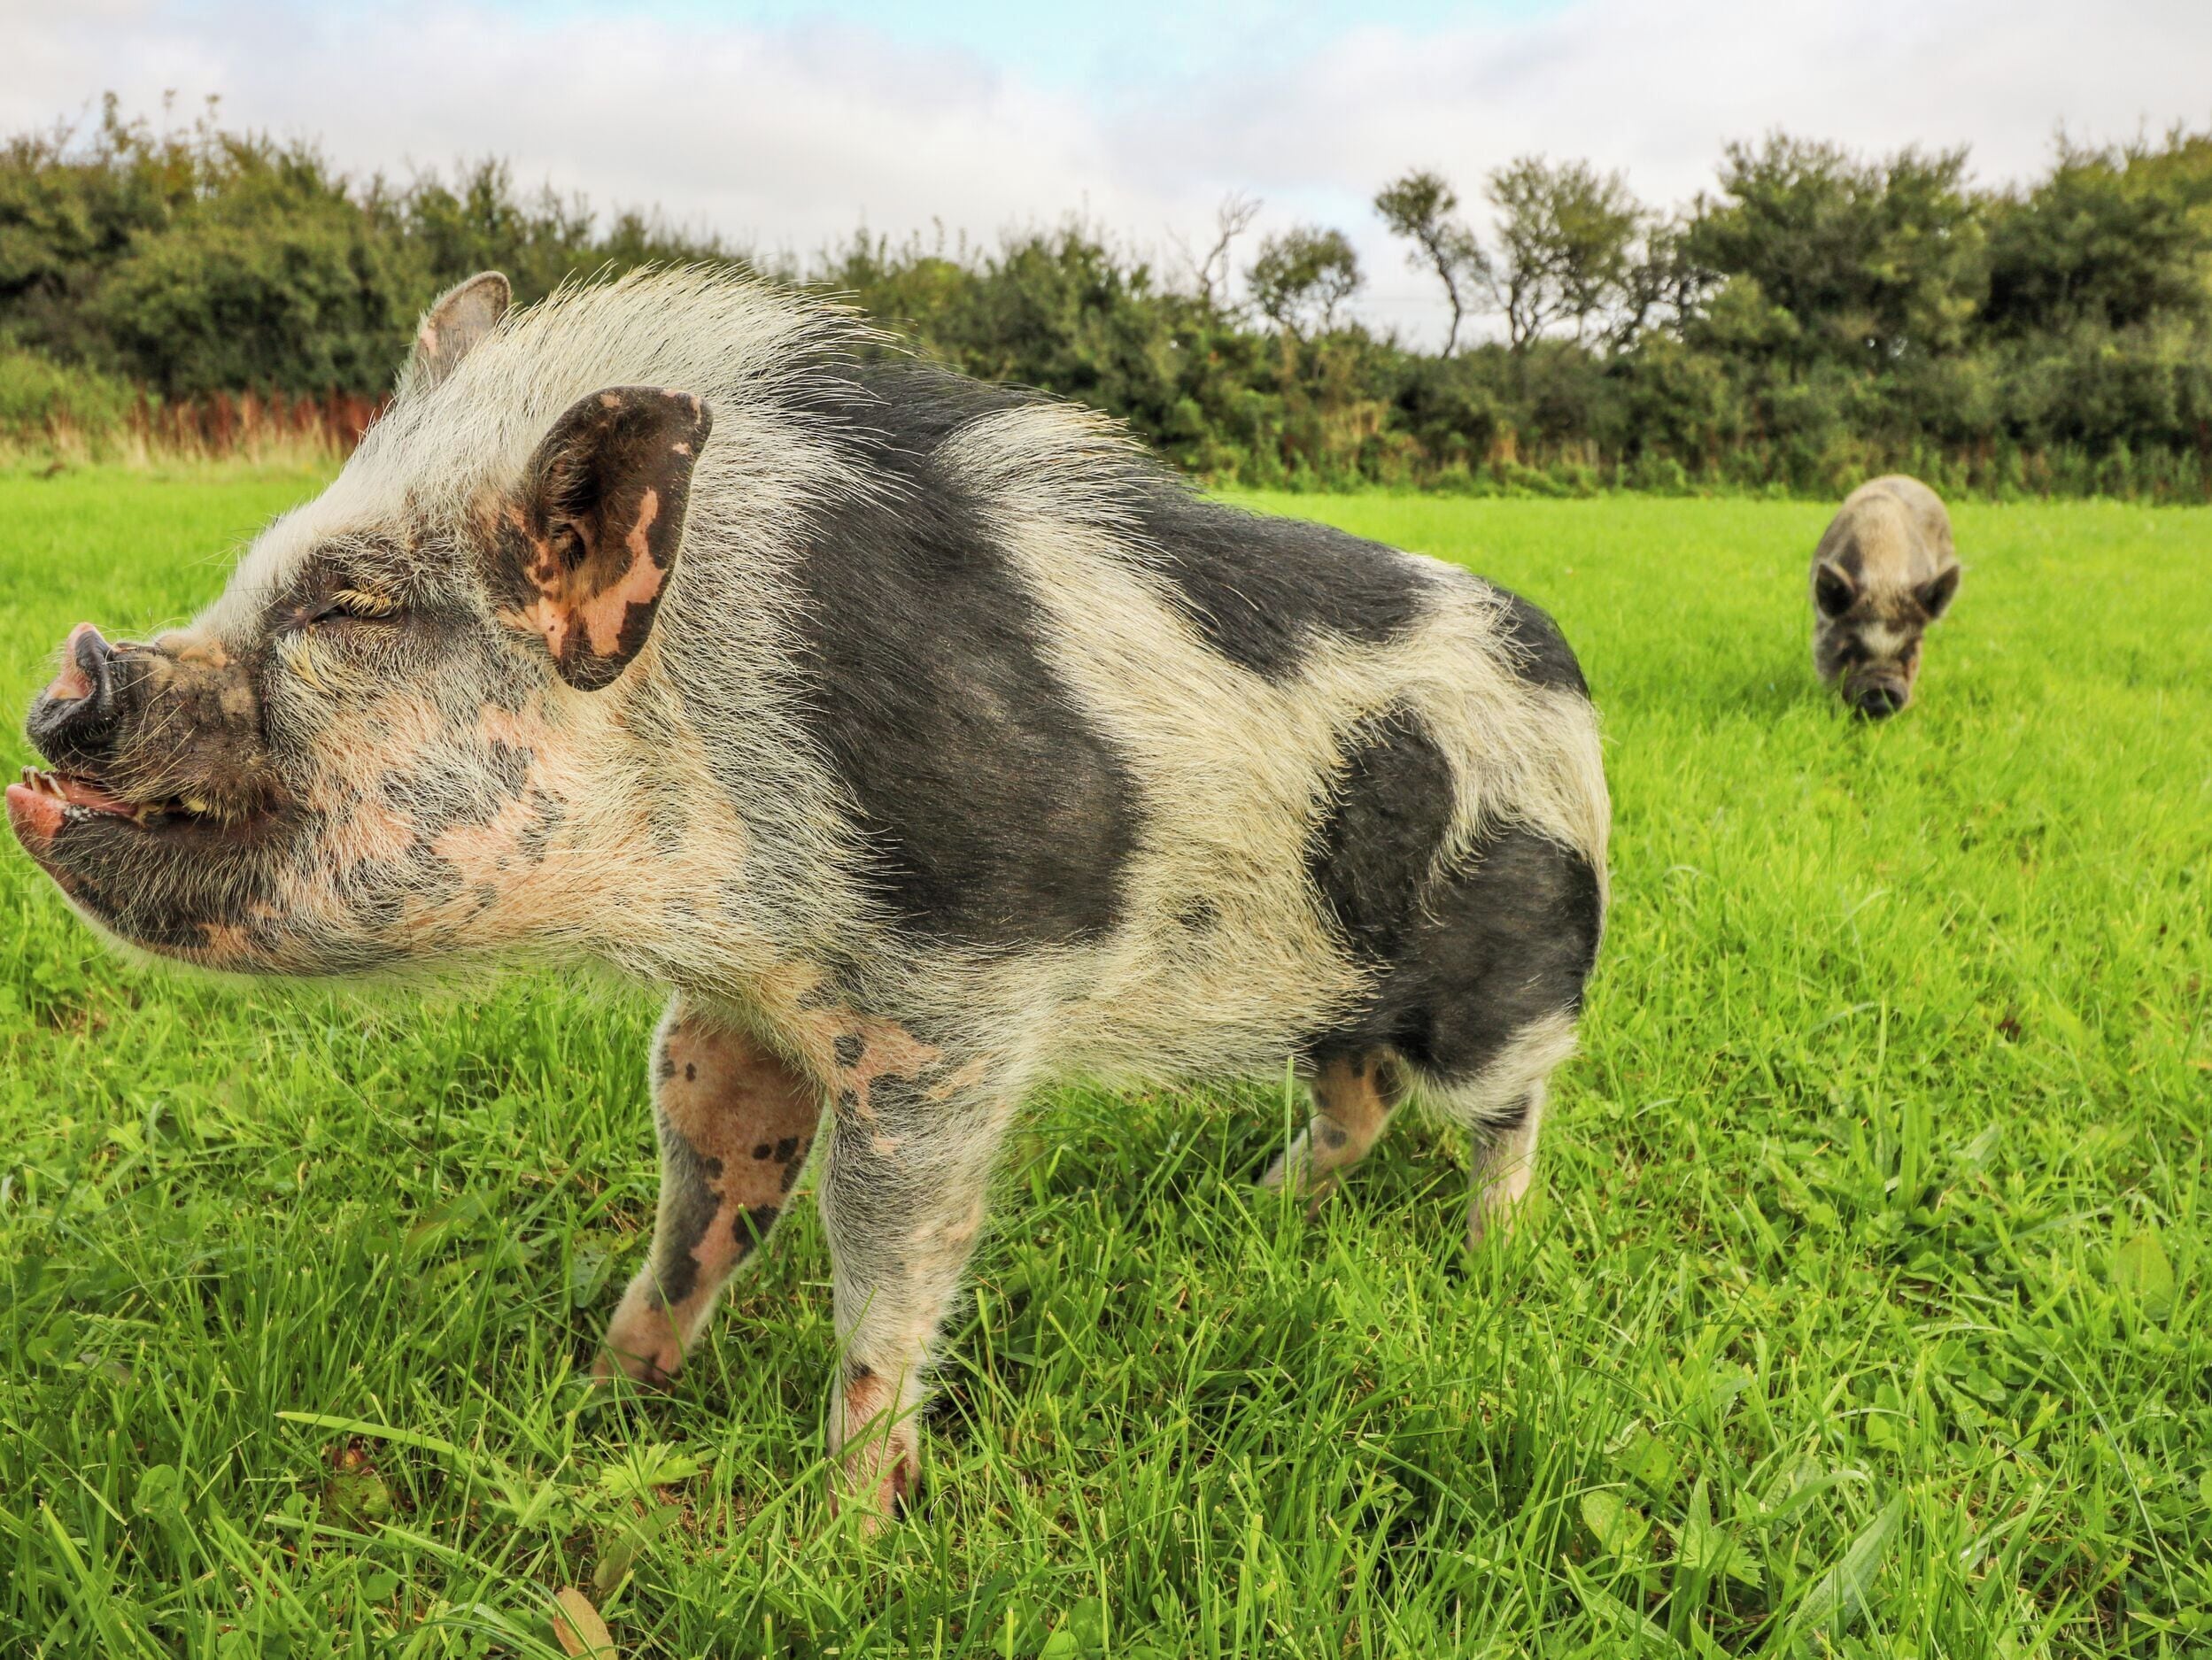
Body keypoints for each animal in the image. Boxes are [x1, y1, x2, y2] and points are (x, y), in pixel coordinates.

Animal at [9, 268, 1608, 1522]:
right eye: (259, 571)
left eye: (353, 609)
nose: (73, 678)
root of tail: (1564, 670)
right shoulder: (734, 1008)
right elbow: (706, 1182)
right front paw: (605, 1394)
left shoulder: (949, 1008)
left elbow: (887, 1250)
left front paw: (846, 1528)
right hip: (1329, 990)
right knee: (1353, 1096)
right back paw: (1262, 1208)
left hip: (1509, 977)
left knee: (1506, 1105)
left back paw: (1485, 1249)